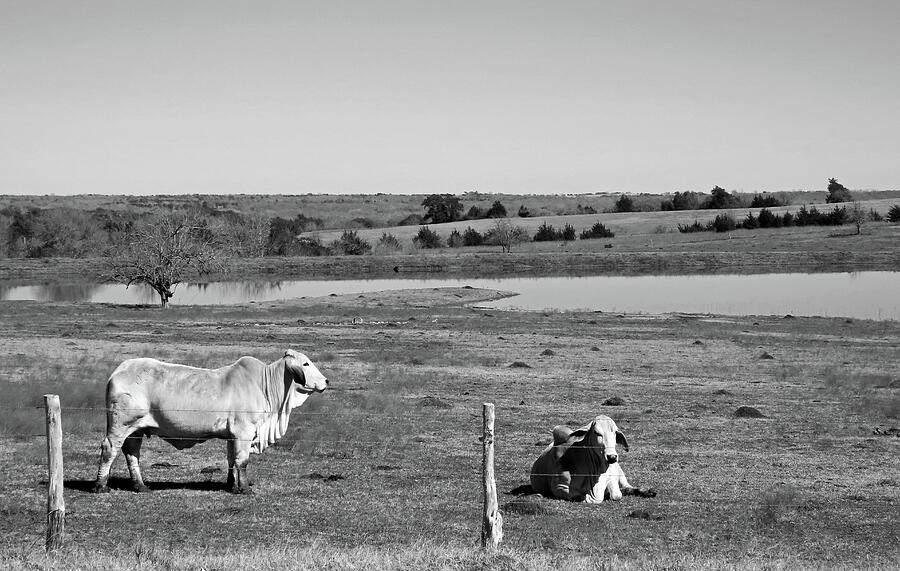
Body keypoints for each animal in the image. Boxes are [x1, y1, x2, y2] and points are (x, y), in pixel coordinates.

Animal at [91, 350, 328, 494]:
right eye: (305, 363)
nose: (326, 381)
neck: (265, 385)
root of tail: (119, 370)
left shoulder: (233, 436)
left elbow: (232, 461)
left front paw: (232, 486)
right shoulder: (244, 432)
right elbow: (243, 461)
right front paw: (245, 489)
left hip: (137, 429)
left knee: (132, 453)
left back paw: (140, 486)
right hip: (121, 424)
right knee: (110, 449)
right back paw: (101, 485)